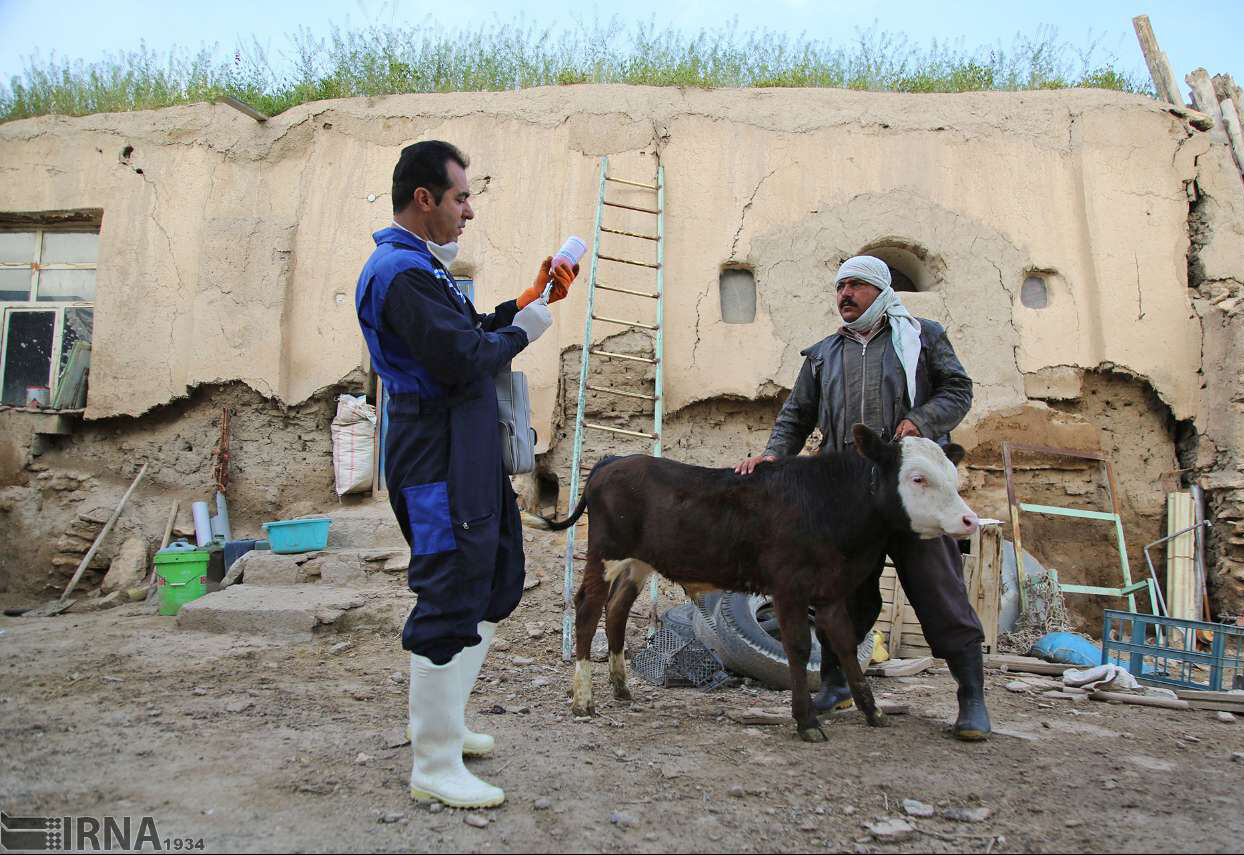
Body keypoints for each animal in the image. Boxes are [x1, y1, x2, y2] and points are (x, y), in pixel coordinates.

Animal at [537, 425, 980, 741]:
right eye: (918, 478)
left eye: (952, 474)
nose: (969, 520)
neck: (828, 505)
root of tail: (613, 461)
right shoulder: (788, 587)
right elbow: (799, 648)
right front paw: (805, 721)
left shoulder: (831, 591)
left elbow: (844, 644)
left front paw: (872, 711)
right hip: (606, 553)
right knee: (587, 609)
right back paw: (583, 699)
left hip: (637, 562)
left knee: (616, 611)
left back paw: (621, 688)